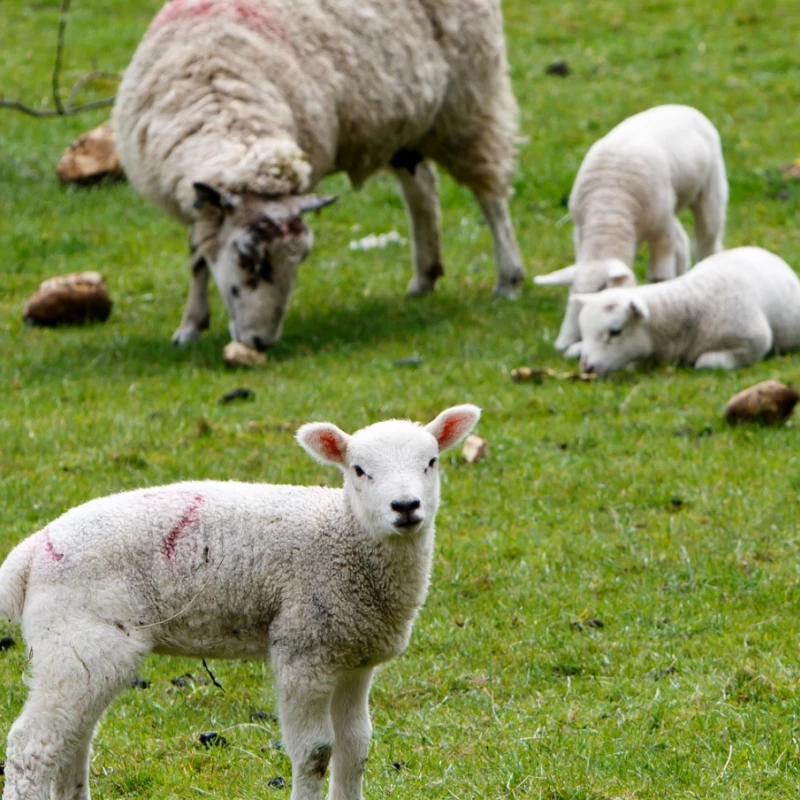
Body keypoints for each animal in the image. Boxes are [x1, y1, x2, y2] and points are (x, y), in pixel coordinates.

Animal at [0, 406, 482, 800]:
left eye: (431, 462)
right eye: (359, 470)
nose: (406, 506)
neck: (346, 537)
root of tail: (31, 553)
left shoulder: (353, 656)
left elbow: (355, 747)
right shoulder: (303, 648)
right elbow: (315, 752)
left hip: (79, 650)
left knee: (72, 739)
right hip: (78, 639)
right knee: (32, 745)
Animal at [112, 0, 524, 352]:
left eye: (301, 260)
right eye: (246, 255)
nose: (261, 342)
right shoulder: (199, 204)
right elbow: (198, 258)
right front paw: (190, 326)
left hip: (467, 100)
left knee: (490, 195)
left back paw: (509, 278)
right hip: (406, 123)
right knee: (421, 187)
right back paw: (425, 275)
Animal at [536, 102, 728, 356]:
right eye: (575, 298)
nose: (566, 344)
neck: (610, 209)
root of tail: (679, 106)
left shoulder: (660, 231)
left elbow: (659, 277)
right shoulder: (580, 234)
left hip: (710, 190)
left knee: (707, 241)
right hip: (670, 206)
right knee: (682, 240)